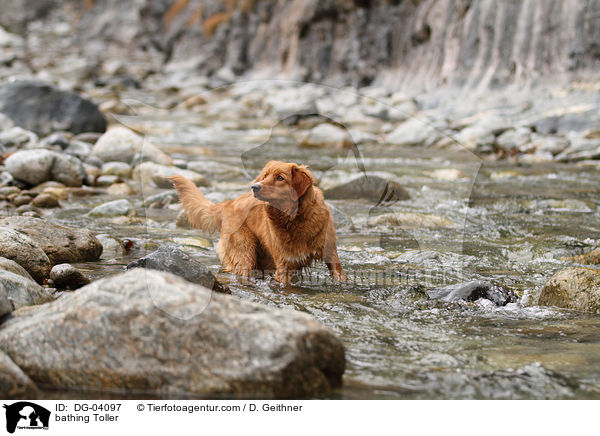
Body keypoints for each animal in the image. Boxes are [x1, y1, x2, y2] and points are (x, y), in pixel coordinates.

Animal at [170, 162, 346, 284]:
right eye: (265, 176)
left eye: (280, 177)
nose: (254, 187)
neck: (295, 219)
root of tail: (229, 203)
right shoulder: (284, 265)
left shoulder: (331, 254)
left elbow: (339, 274)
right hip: (245, 254)